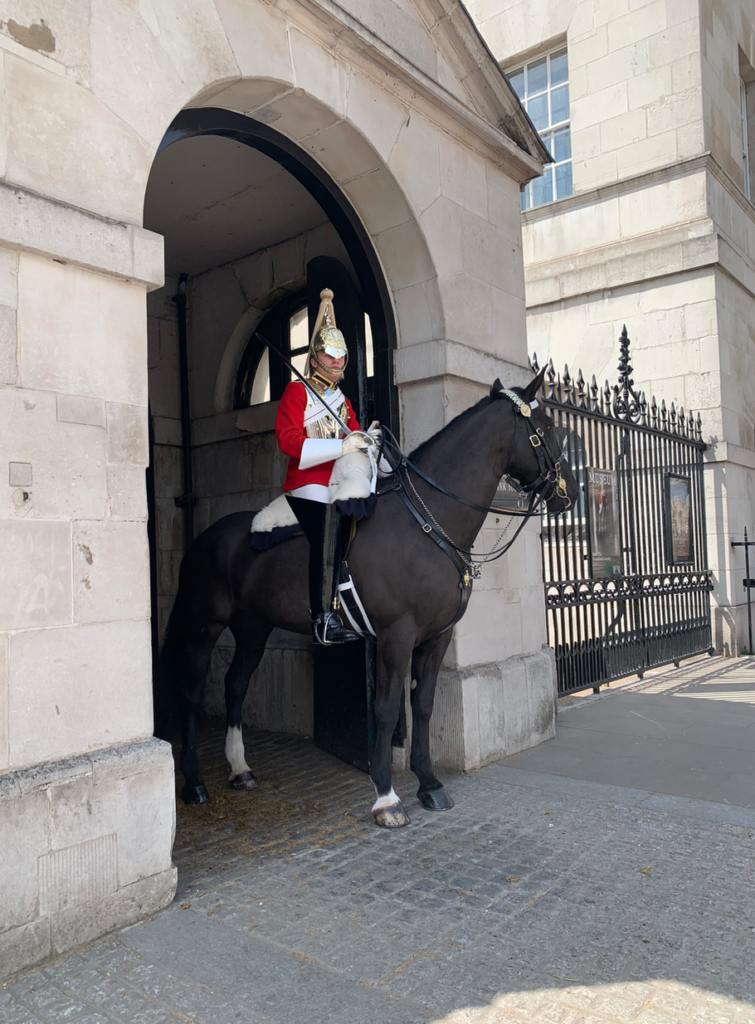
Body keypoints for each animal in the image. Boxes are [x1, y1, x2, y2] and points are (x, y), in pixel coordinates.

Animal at [153, 372, 577, 827]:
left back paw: (239, 768)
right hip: (204, 625)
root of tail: (204, 538)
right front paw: (386, 798)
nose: (567, 494)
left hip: (253, 627)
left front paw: (429, 783)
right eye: (547, 429)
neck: (427, 521)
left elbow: (422, 705)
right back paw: (194, 783)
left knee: (235, 684)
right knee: (192, 692)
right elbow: (387, 708)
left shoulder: (436, 637)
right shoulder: (396, 635)